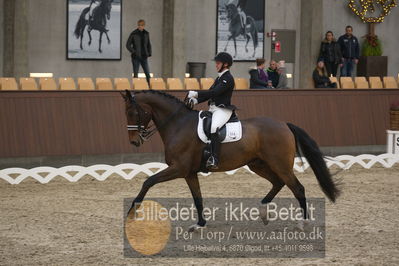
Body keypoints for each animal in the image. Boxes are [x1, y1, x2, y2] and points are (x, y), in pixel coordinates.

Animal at [122, 90, 340, 231]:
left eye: (133, 112)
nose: (134, 142)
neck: (178, 124)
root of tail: (284, 124)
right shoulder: (189, 173)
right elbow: (197, 198)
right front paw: (199, 224)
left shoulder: (179, 168)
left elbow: (148, 181)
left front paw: (132, 211)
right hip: (258, 164)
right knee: (278, 183)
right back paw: (263, 211)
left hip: (280, 164)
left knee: (297, 188)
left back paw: (303, 223)